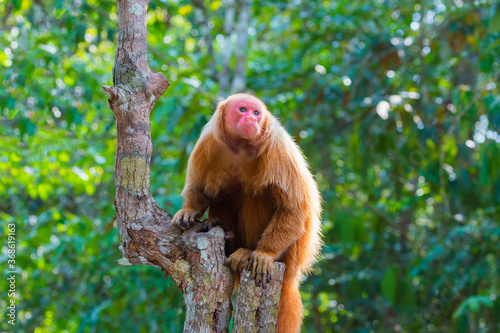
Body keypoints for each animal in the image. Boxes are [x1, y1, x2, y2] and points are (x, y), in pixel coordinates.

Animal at [171, 92, 320, 330]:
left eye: (256, 113)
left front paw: (264, 253)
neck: (241, 148)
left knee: (254, 192)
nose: (251, 119)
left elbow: (294, 208)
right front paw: (189, 210)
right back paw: (223, 231)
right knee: (225, 191)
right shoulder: (208, 142)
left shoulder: (278, 146)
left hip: (289, 256)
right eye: (243, 110)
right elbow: (200, 188)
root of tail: (291, 274)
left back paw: (247, 252)